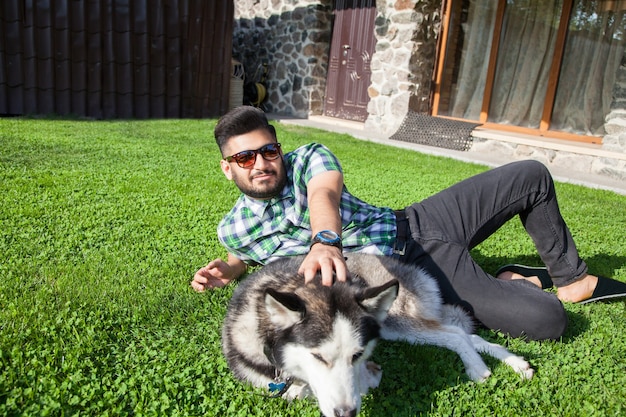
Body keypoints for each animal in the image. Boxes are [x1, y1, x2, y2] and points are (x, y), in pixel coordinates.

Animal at [221, 252, 532, 414]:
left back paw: (477, 367)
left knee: (455, 333)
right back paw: (516, 363)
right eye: (318, 357)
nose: (347, 413)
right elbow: (299, 391)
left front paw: (370, 378)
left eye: (357, 354)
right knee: (468, 334)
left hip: (396, 321)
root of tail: (411, 269)